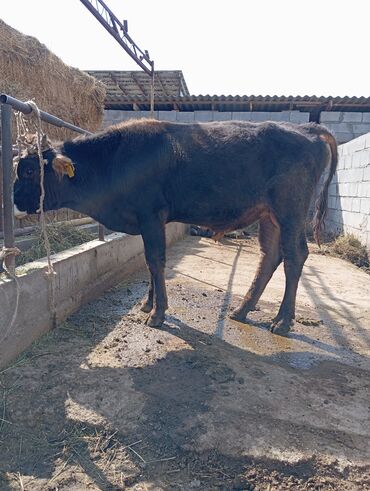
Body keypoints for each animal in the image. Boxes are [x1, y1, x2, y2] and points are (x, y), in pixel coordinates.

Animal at [13, 120, 338, 334]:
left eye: (28, 171)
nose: (14, 201)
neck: (116, 160)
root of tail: (307, 129)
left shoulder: (151, 215)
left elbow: (156, 261)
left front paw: (157, 314)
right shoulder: (147, 222)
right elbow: (149, 262)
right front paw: (148, 304)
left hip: (290, 211)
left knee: (295, 256)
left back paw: (282, 322)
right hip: (269, 216)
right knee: (270, 256)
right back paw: (241, 310)